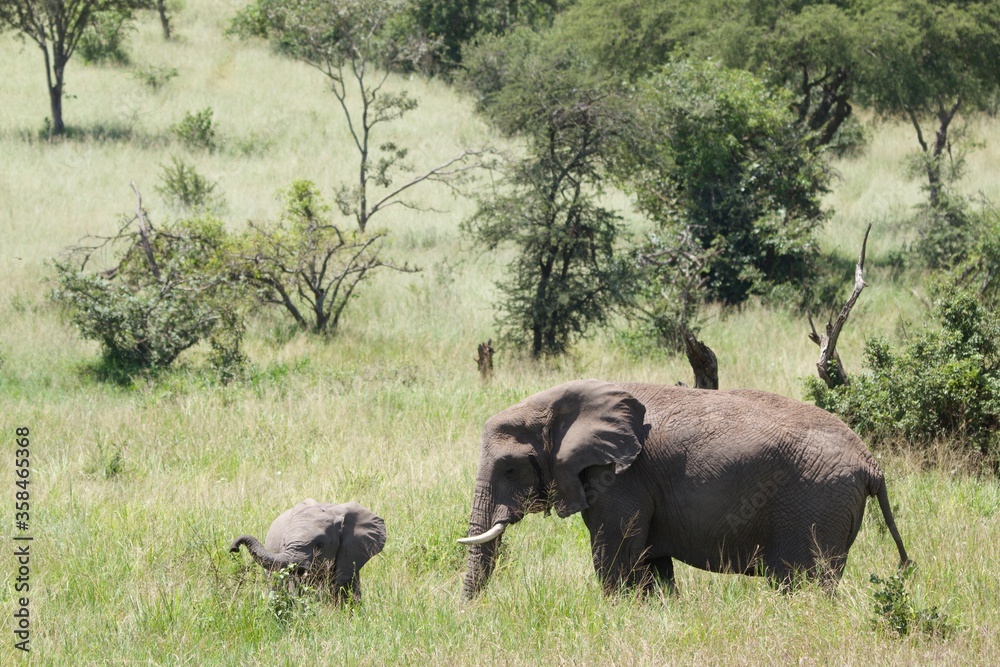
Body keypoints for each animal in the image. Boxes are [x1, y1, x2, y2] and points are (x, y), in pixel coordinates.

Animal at [459, 380, 911, 597]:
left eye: (510, 469)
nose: (468, 614)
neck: (557, 402)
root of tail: (871, 462)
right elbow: (652, 564)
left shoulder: (621, 478)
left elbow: (614, 558)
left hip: (816, 504)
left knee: (804, 582)